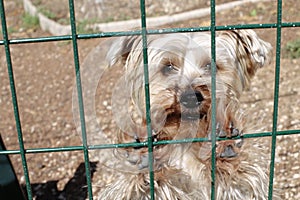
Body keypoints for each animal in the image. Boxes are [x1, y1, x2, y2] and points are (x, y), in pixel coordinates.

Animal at [97, 30, 276, 200]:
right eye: (168, 67)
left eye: (211, 66)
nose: (190, 97)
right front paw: (143, 152)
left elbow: (244, 178)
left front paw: (225, 141)